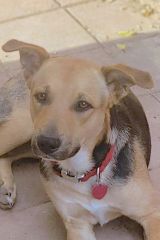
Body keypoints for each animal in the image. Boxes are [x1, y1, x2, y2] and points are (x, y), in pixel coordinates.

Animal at [0, 38, 160, 239]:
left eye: (83, 104)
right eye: (41, 96)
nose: (46, 143)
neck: (83, 171)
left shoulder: (152, 214)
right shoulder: (76, 224)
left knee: (7, 156)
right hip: (23, 129)